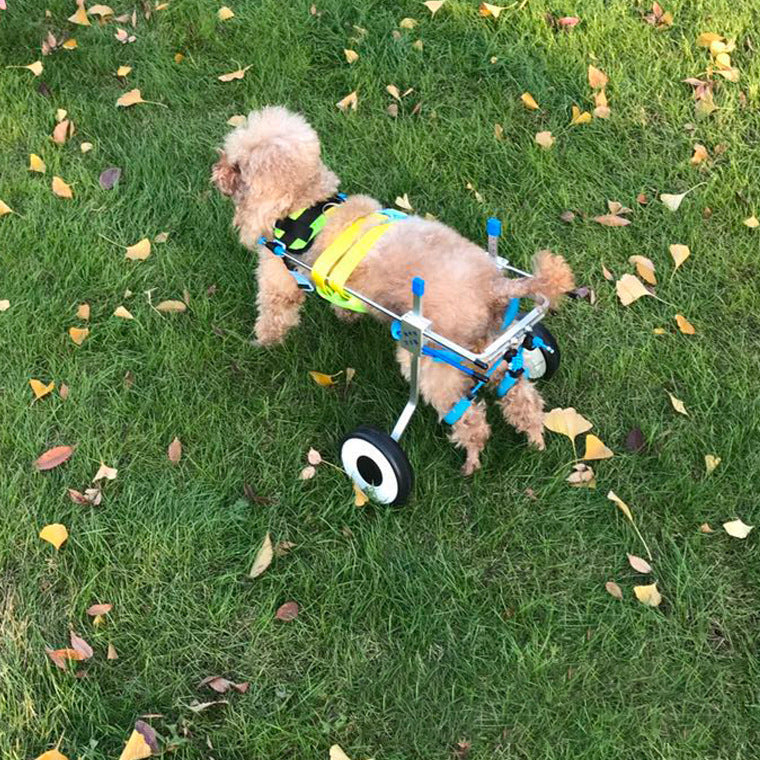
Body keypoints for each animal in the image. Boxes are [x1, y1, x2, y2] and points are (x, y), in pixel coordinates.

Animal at [211, 107, 572, 476]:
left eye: (237, 167)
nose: (216, 168)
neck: (308, 204)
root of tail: (495, 285)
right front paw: (344, 315)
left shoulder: (278, 278)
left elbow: (273, 316)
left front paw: (260, 344)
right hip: (492, 343)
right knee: (520, 392)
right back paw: (535, 435)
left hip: (434, 360)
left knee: (469, 418)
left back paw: (468, 458)